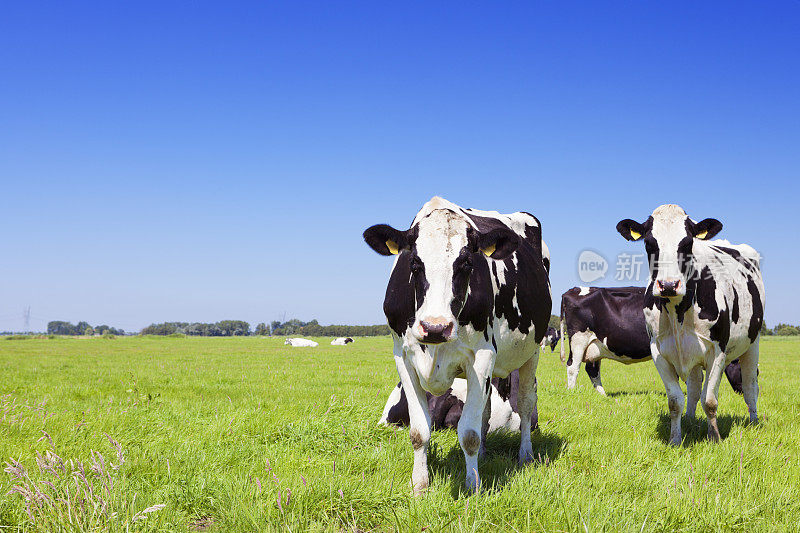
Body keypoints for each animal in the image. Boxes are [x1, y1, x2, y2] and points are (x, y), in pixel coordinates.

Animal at [560, 286, 748, 394]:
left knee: (592, 369)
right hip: (578, 339)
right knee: (573, 366)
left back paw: (603, 396)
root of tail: (573, 289)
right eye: (742, 369)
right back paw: (572, 392)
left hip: (595, 345)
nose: (742, 392)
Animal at [616, 202, 764, 442]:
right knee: (694, 388)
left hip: (753, 343)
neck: (677, 311)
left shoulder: (718, 351)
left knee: (751, 387)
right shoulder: (658, 351)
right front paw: (675, 439)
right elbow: (675, 400)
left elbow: (710, 400)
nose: (668, 284)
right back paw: (690, 419)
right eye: (649, 243)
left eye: (687, 243)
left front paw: (714, 438)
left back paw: (754, 422)